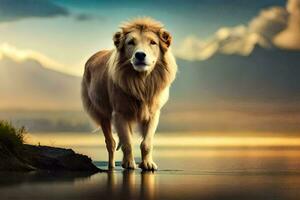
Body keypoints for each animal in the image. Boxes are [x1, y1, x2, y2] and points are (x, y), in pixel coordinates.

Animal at [81, 17, 177, 170]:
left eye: (153, 42)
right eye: (131, 42)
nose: (140, 54)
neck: (141, 81)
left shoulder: (153, 113)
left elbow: (147, 143)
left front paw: (148, 164)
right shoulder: (120, 113)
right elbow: (127, 142)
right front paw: (129, 164)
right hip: (101, 112)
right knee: (111, 143)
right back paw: (111, 167)